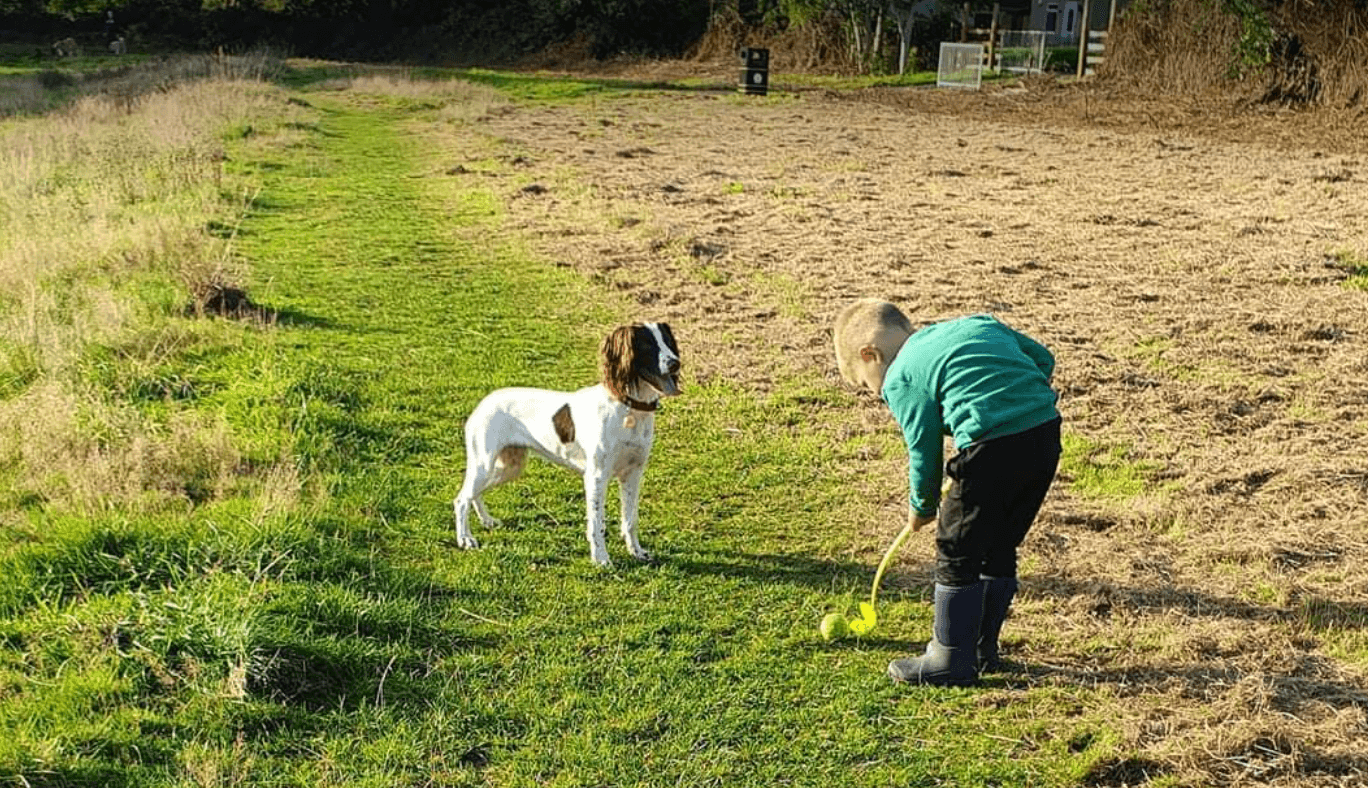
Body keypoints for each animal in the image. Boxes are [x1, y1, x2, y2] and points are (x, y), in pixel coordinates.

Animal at [454, 321, 678, 566]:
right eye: (647, 344)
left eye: (668, 341)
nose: (675, 363)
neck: (628, 408)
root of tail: (484, 402)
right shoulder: (596, 476)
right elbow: (597, 524)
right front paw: (601, 559)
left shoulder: (633, 473)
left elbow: (630, 520)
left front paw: (637, 552)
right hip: (484, 463)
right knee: (461, 499)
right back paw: (465, 539)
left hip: (509, 467)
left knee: (474, 494)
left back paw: (487, 521)